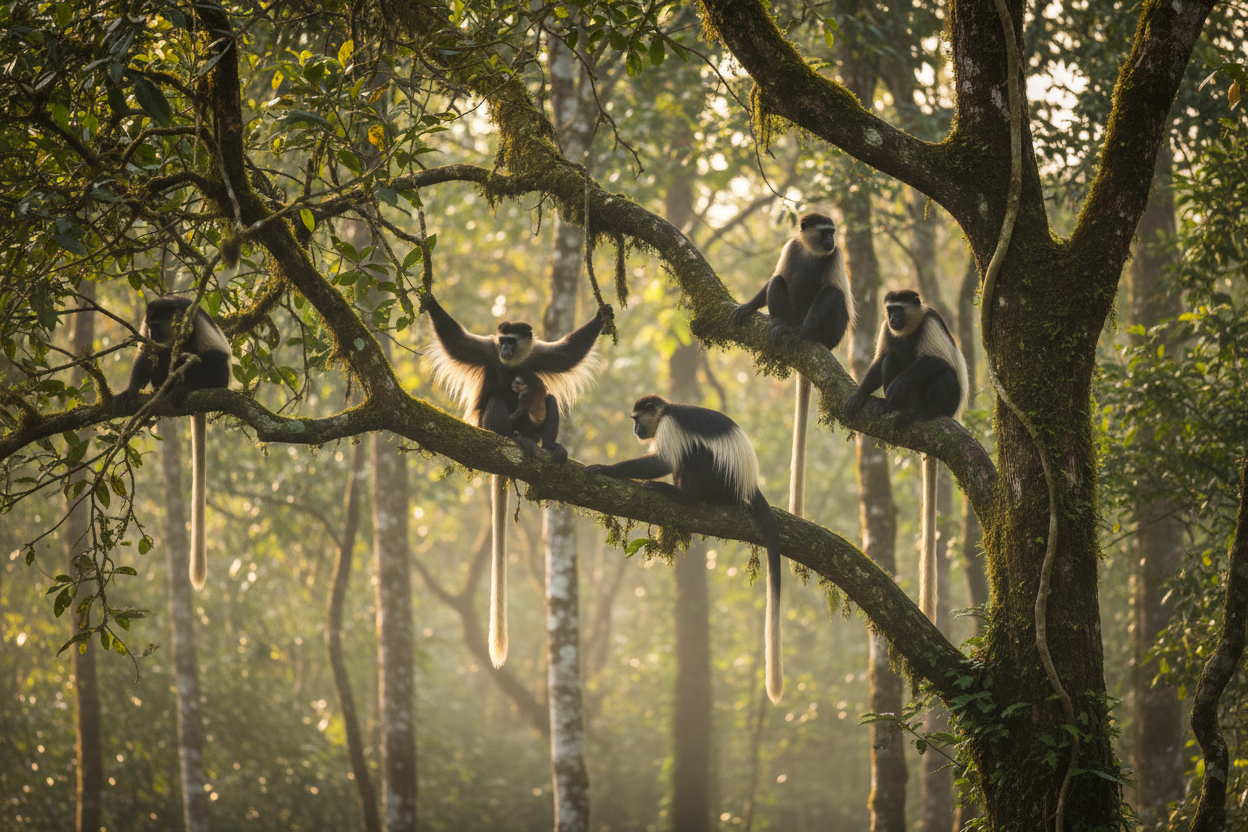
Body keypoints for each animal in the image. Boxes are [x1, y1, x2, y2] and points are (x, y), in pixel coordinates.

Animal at [114, 296, 231, 591]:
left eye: (158, 325)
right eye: (150, 325)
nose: (154, 334)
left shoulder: (194, 320)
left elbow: (216, 353)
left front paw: (186, 385)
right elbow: (146, 353)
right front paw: (130, 390)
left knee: (213, 361)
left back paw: (184, 387)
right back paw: (162, 387)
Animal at [425, 294, 609, 667]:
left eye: (513, 340)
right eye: (503, 341)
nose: (507, 350)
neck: (512, 364)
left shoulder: (536, 355)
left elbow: (567, 354)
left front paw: (602, 315)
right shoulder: (486, 351)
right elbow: (456, 342)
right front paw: (430, 301)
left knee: (548, 400)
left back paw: (548, 445)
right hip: (489, 424)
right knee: (496, 402)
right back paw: (514, 439)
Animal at [585, 395, 785, 703]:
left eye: (636, 419)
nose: (635, 431)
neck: (666, 410)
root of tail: (748, 485)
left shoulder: (670, 426)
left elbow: (662, 462)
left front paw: (606, 468)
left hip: (718, 479)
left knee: (691, 456)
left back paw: (681, 496)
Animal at [731, 212, 854, 519]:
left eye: (832, 232)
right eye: (825, 231)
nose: (831, 239)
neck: (812, 251)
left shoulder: (835, 256)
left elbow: (830, 292)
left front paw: (804, 332)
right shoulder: (792, 248)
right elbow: (774, 280)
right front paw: (749, 306)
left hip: (833, 330)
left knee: (832, 294)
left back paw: (805, 333)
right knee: (778, 281)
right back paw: (780, 325)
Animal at [844, 288, 968, 622]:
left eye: (899, 308)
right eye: (890, 311)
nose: (895, 318)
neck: (908, 329)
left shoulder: (930, 323)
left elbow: (936, 359)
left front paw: (898, 387)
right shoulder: (887, 331)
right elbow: (879, 361)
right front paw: (861, 395)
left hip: (947, 401)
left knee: (943, 372)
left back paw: (921, 412)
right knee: (890, 358)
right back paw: (892, 406)